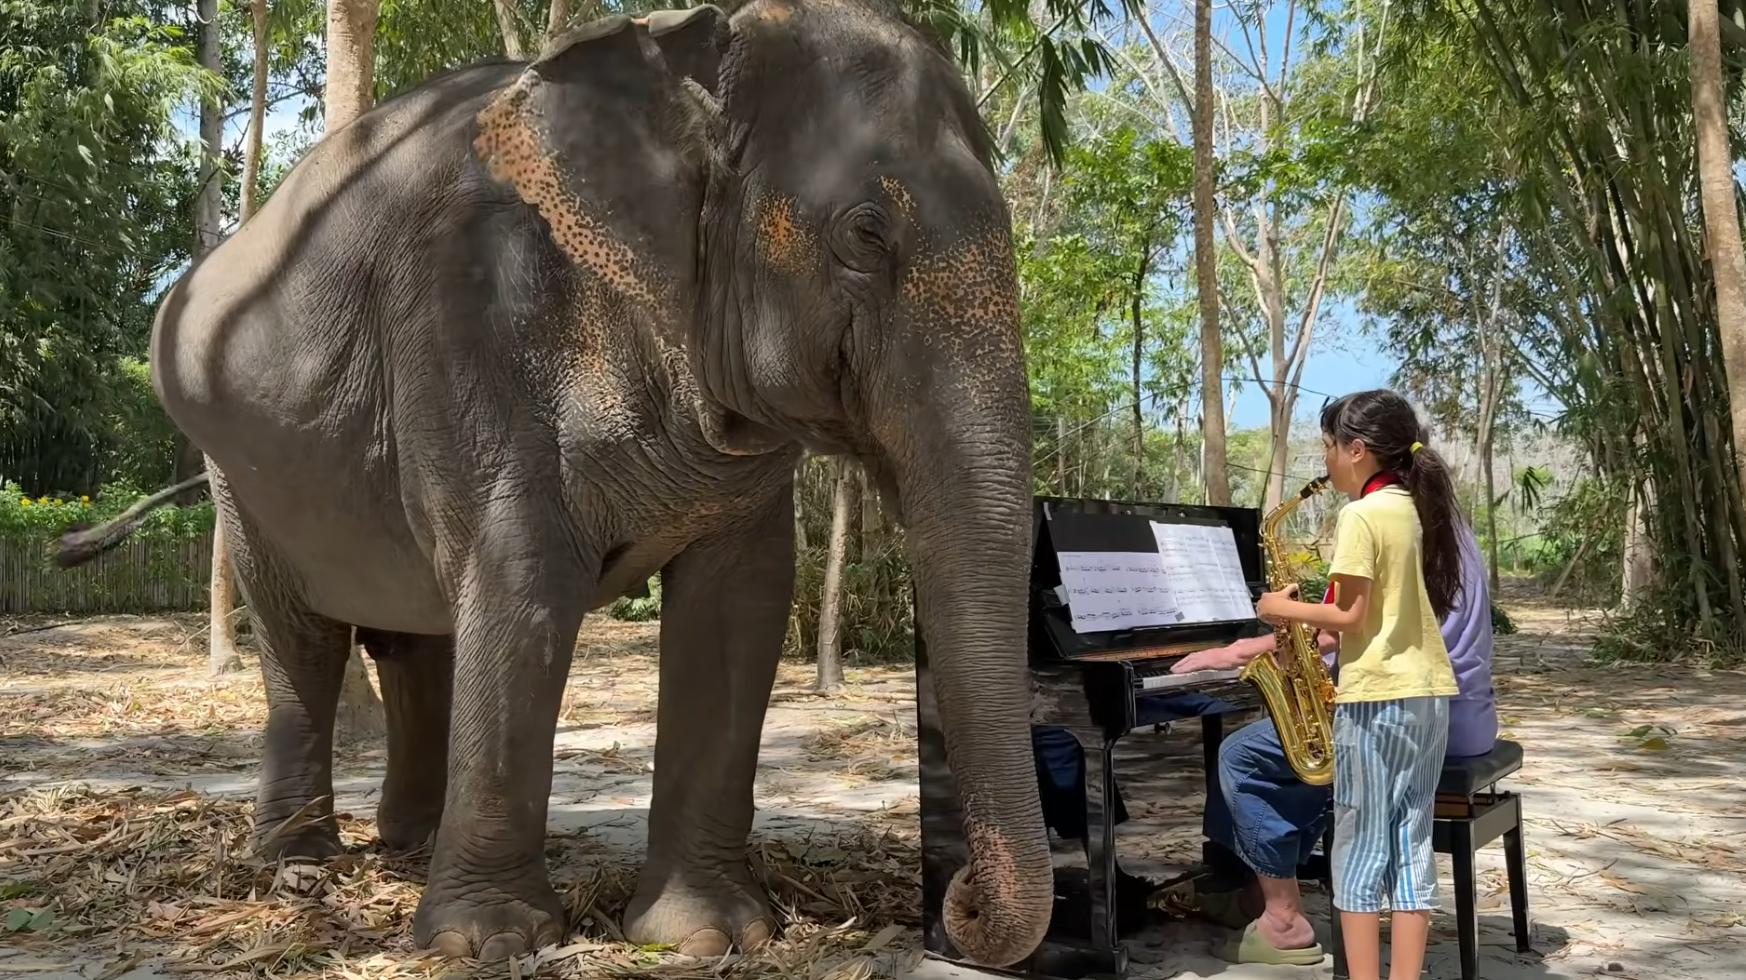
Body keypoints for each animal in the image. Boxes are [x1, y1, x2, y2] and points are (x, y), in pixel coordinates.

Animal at [59, 0, 1050, 966]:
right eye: (864, 236)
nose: (958, 902)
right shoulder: (471, 320)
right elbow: (524, 584)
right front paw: (489, 943)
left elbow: (739, 604)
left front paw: (706, 937)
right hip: (242, 472)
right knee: (303, 639)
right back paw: (301, 867)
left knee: (418, 633)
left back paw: (411, 844)